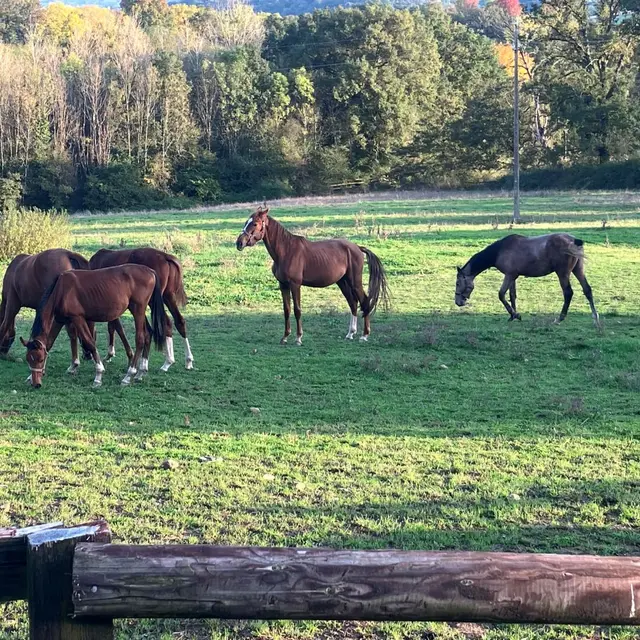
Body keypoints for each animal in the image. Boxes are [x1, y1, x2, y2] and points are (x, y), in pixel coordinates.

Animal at [21, 264, 167, 388]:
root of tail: (150, 271)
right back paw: (141, 372)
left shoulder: (78, 318)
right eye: (29, 359)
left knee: (140, 339)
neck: (61, 290)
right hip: (139, 312)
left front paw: (98, 375)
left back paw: (129, 375)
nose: (37, 384)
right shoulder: (59, 320)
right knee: (148, 334)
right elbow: (49, 344)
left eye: (40, 359)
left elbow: (90, 343)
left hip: (138, 310)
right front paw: (30, 377)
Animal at [235, 206, 389, 344]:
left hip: (354, 282)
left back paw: (364, 335)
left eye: (255, 223)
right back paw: (350, 333)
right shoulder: (283, 285)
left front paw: (298, 338)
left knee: (364, 301)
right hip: (342, 282)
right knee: (353, 303)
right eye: (246, 222)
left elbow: (297, 310)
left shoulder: (295, 285)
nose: (239, 243)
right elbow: (286, 310)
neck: (286, 251)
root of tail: (357, 248)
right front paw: (285, 337)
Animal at [455, 233, 600, 325]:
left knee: (568, 293)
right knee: (587, 290)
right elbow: (512, 295)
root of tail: (574, 241)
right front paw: (513, 316)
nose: (458, 302)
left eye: (457, 283)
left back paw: (560, 319)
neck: (499, 251)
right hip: (578, 270)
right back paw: (595, 318)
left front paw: (515, 315)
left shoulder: (509, 275)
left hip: (563, 273)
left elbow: (501, 295)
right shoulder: (513, 276)